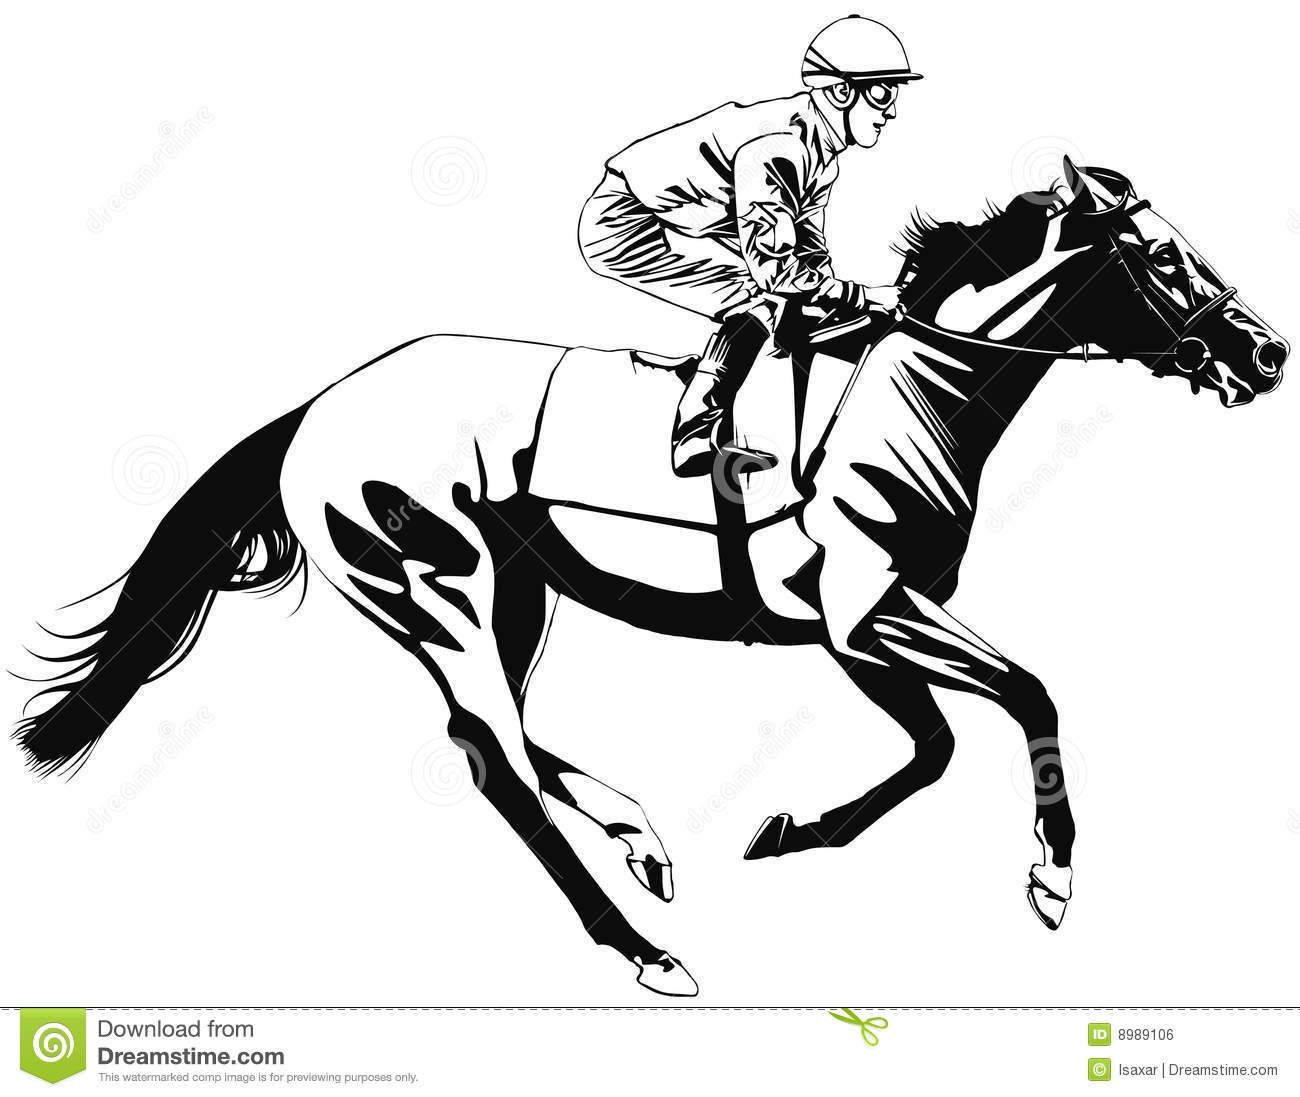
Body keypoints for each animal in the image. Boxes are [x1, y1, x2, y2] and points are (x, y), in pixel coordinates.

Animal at [14, 157, 1286, 997]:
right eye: (1162, 258)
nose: (1266, 352)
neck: (905, 396)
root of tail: (317, 408)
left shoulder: (857, 626)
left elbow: (936, 743)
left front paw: (790, 831)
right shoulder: (863, 612)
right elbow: (1024, 696)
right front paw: (1050, 879)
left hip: (513, 592)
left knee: (503, 734)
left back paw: (639, 836)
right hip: (433, 587)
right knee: (498, 760)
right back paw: (642, 945)